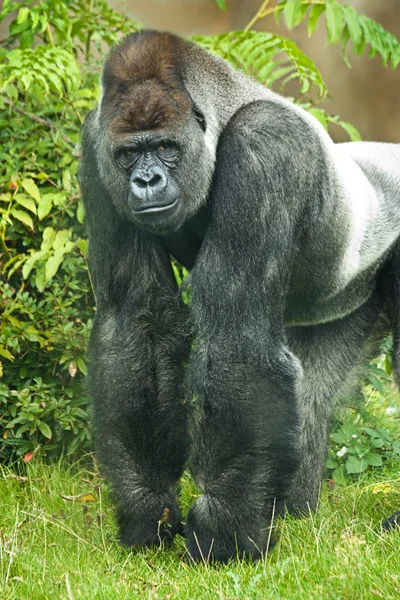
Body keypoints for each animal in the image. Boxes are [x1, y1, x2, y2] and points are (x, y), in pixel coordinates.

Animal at [78, 28, 400, 564]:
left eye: (164, 147)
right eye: (128, 156)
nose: (145, 180)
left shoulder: (264, 146)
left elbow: (237, 338)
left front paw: (221, 534)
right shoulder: (94, 146)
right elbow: (138, 319)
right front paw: (149, 510)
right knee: (311, 389)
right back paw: (292, 510)